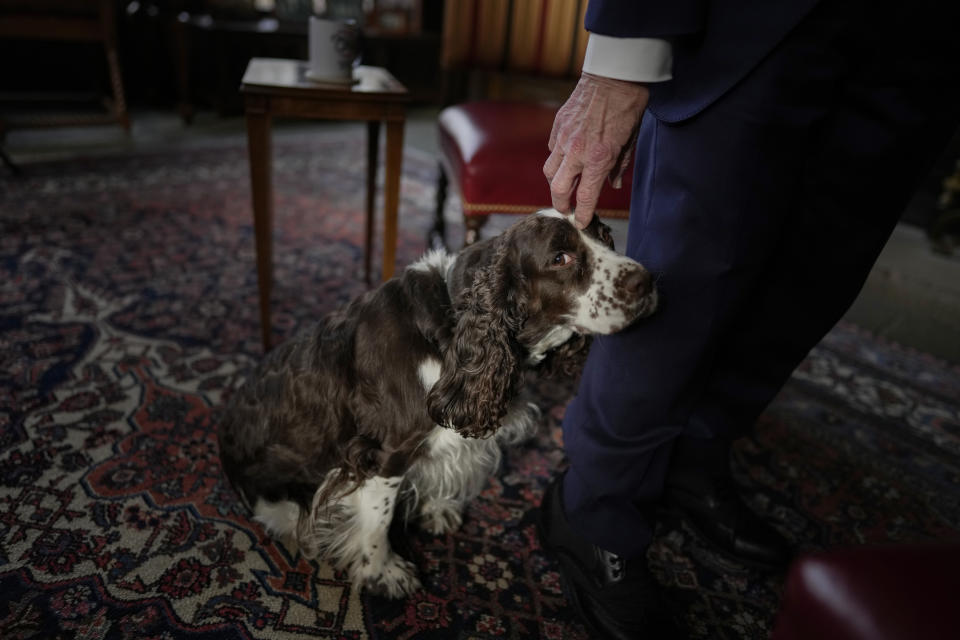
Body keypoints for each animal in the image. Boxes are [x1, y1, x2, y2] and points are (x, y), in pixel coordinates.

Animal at [218, 212, 656, 596]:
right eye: (560, 258)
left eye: (606, 236)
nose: (648, 282)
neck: (453, 326)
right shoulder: (384, 450)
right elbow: (378, 518)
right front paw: (383, 572)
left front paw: (438, 507)